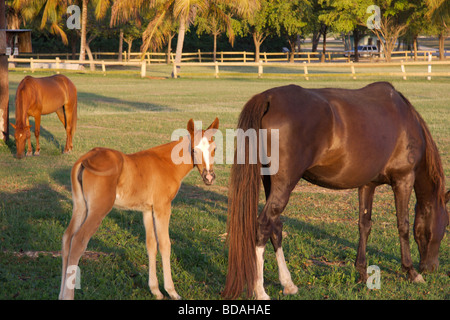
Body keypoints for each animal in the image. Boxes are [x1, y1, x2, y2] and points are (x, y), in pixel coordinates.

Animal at [59, 117, 221, 300]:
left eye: (214, 149)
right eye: (194, 149)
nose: (209, 177)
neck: (167, 163)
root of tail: (86, 158)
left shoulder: (147, 210)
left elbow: (151, 245)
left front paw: (156, 290)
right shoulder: (162, 207)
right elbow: (165, 244)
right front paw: (171, 291)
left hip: (80, 207)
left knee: (67, 238)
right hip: (98, 210)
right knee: (78, 241)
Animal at [223, 82, 448, 300]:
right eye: (446, 226)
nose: (431, 268)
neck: (405, 119)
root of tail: (268, 97)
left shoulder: (367, 184)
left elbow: (364, 225)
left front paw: (362, 273)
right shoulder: (403, 179)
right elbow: (403, 225)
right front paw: (411, 272)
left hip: (270, 183)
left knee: (275, 227)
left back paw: (288, 284)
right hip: (283, 185)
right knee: (263, 226)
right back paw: (260, 291)